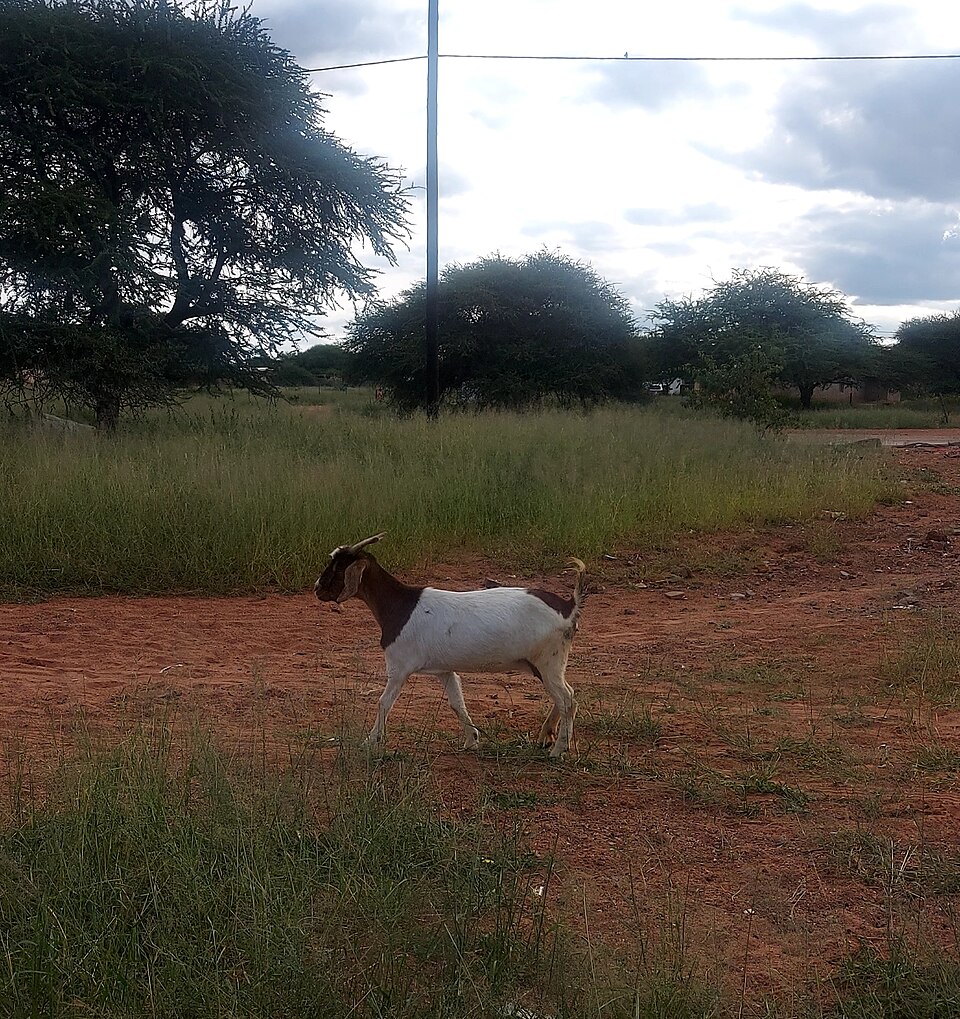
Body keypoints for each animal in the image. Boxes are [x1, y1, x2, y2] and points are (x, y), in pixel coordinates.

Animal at [314, 533, 587, 757]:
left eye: (337, 566)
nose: (317, 589)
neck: (400, 606)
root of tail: (568, 607)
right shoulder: (444, 670)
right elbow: (457, 703)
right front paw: (472, 741)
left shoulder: (399, 667)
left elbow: (384, 702)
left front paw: (370, 742)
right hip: (543, 664)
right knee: (565, 695)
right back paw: (546, 736)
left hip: (549, 659)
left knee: (567, 700)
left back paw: (558, 749)